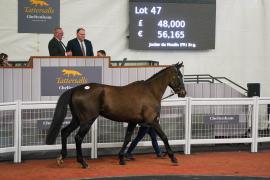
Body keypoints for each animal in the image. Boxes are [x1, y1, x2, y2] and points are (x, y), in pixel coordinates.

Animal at [46, 62, 186, 169]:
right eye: (179, 76)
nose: (183, 93)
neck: (150, 92)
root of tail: (74, 89)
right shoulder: (153, 121)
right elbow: (164, 137)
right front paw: (173, 158)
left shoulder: (133, 122)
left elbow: (127, 139)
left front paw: (121, 158)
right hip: (87, 121)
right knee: (78, 138)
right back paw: (83, 163)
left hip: (77, 119)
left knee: (65, 132)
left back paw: (62, 157)